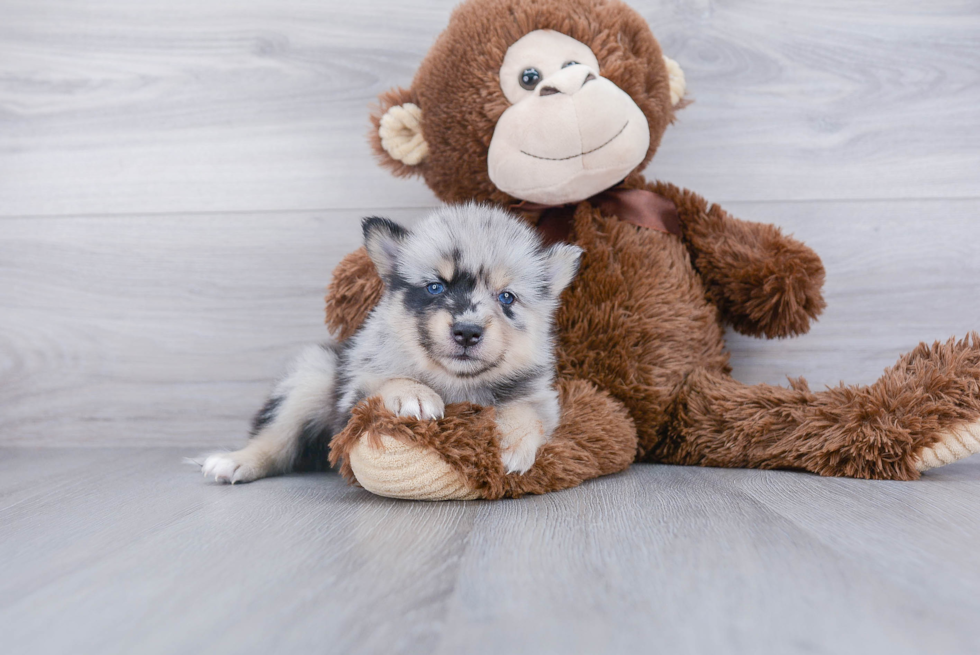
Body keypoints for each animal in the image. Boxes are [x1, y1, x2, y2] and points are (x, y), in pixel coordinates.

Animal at [200, 202, 580, 484]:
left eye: (506, 297)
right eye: (435, 287)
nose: (467, 332)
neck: (456, 382)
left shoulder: (540, 396)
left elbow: (526, 412)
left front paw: (511, 444)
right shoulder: (354, 396)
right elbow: (387, 380)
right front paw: (415, 394)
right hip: (311, 378)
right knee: (275, 437)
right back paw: (235, 461)